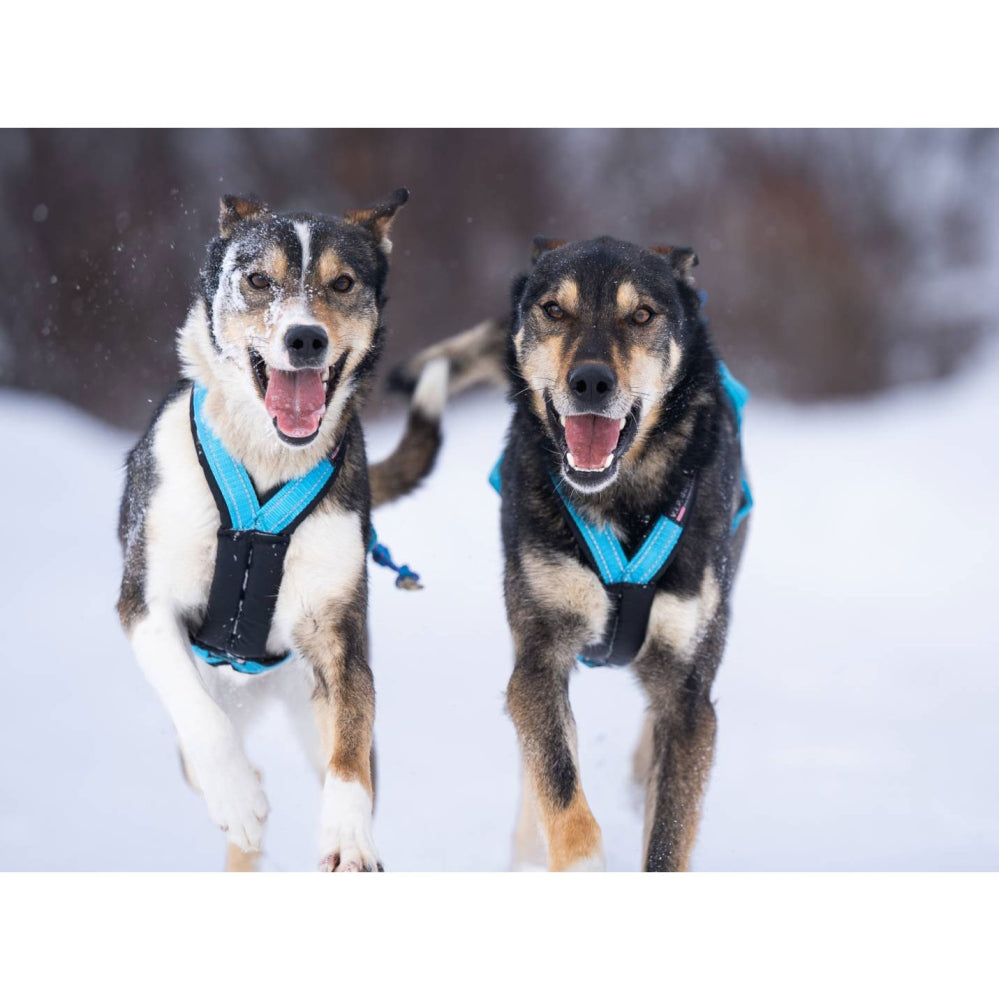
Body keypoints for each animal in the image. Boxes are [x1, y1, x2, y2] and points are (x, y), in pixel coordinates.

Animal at [117, 190, 448, 871]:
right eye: (258, 280)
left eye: (342, 283)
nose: (305, 338)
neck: (267, 466)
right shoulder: (146, 604)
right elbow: (199, 717)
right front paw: (239, 795)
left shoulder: (336, 638)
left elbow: (350, 752)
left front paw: (348, 836)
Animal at [396, 235, 751, 871]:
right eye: (554, 310)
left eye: (642, 315)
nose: (590, 381)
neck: (621, 500)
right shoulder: (539, 662)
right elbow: (562, 795)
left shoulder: (690, 702)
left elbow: (669, 836)